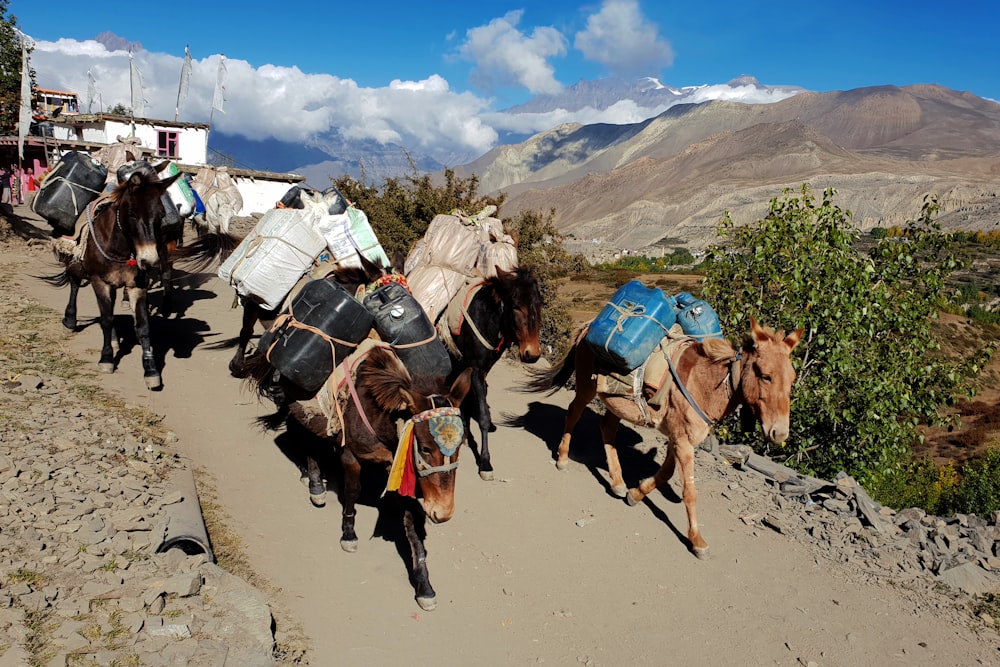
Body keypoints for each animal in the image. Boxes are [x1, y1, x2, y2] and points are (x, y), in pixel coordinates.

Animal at [442, 266, 544, 480]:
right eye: (516, 306)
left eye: (540, 304)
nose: (532, 354)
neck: (488, 318)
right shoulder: (476, 369)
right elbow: (482, 415)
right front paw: (485, 462)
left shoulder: (478, 369)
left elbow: (471, 400)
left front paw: (465, 433)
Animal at [524, 318, 804, 560]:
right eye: (765, 375)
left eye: (792, 379)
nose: (779, 433)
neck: (704, 385)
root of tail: (587, 326)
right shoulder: (683, 442)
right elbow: (690, 492)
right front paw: (697, 541)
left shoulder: (679, 438)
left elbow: (666, 474)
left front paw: (636, 494)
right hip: (586, 386)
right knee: (573, 414)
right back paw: (562, 458)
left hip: (616, 402)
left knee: (607, 429)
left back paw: (617, 482)